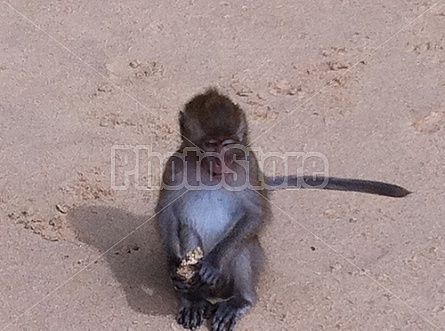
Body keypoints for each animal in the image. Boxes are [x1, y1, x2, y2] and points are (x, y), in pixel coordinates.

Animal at [156, 88, 410, 331]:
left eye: (228, 145)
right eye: (210, 145)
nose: (221, 162)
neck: (210, 173)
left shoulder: (249, 165)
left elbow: (256, 214)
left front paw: (213, 262)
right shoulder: (174, 165)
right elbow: (166, 212)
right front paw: (174, 263)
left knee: (243, 245)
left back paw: (240, 300)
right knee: (188, 233)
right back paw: (193, 299)